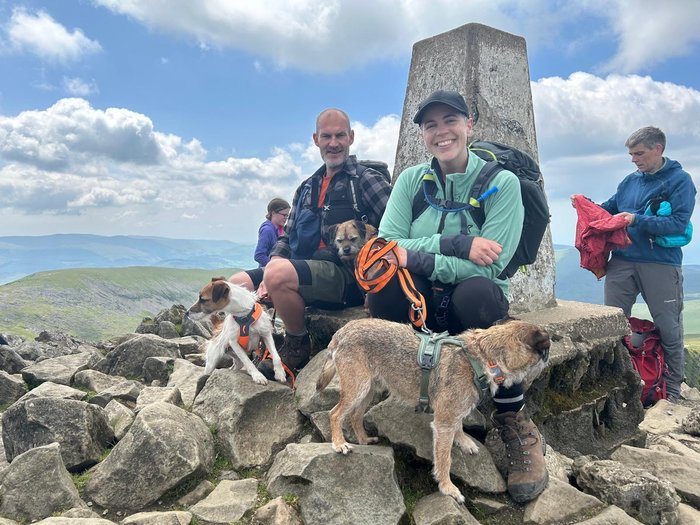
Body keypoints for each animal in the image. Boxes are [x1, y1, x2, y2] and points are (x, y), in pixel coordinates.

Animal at [318, 318, 552, 502]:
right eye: (547, 348)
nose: (549, 356)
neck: (483, 357)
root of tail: (341, 332)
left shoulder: (453, 413)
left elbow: (459, 426)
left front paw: (464, 441)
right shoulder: (443, 422)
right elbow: (444, 459)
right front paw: (447, 488)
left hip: (369, 389)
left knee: (355, 415)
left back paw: (364, 439)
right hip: (357, 387)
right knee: (335, 414)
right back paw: (339, 444)